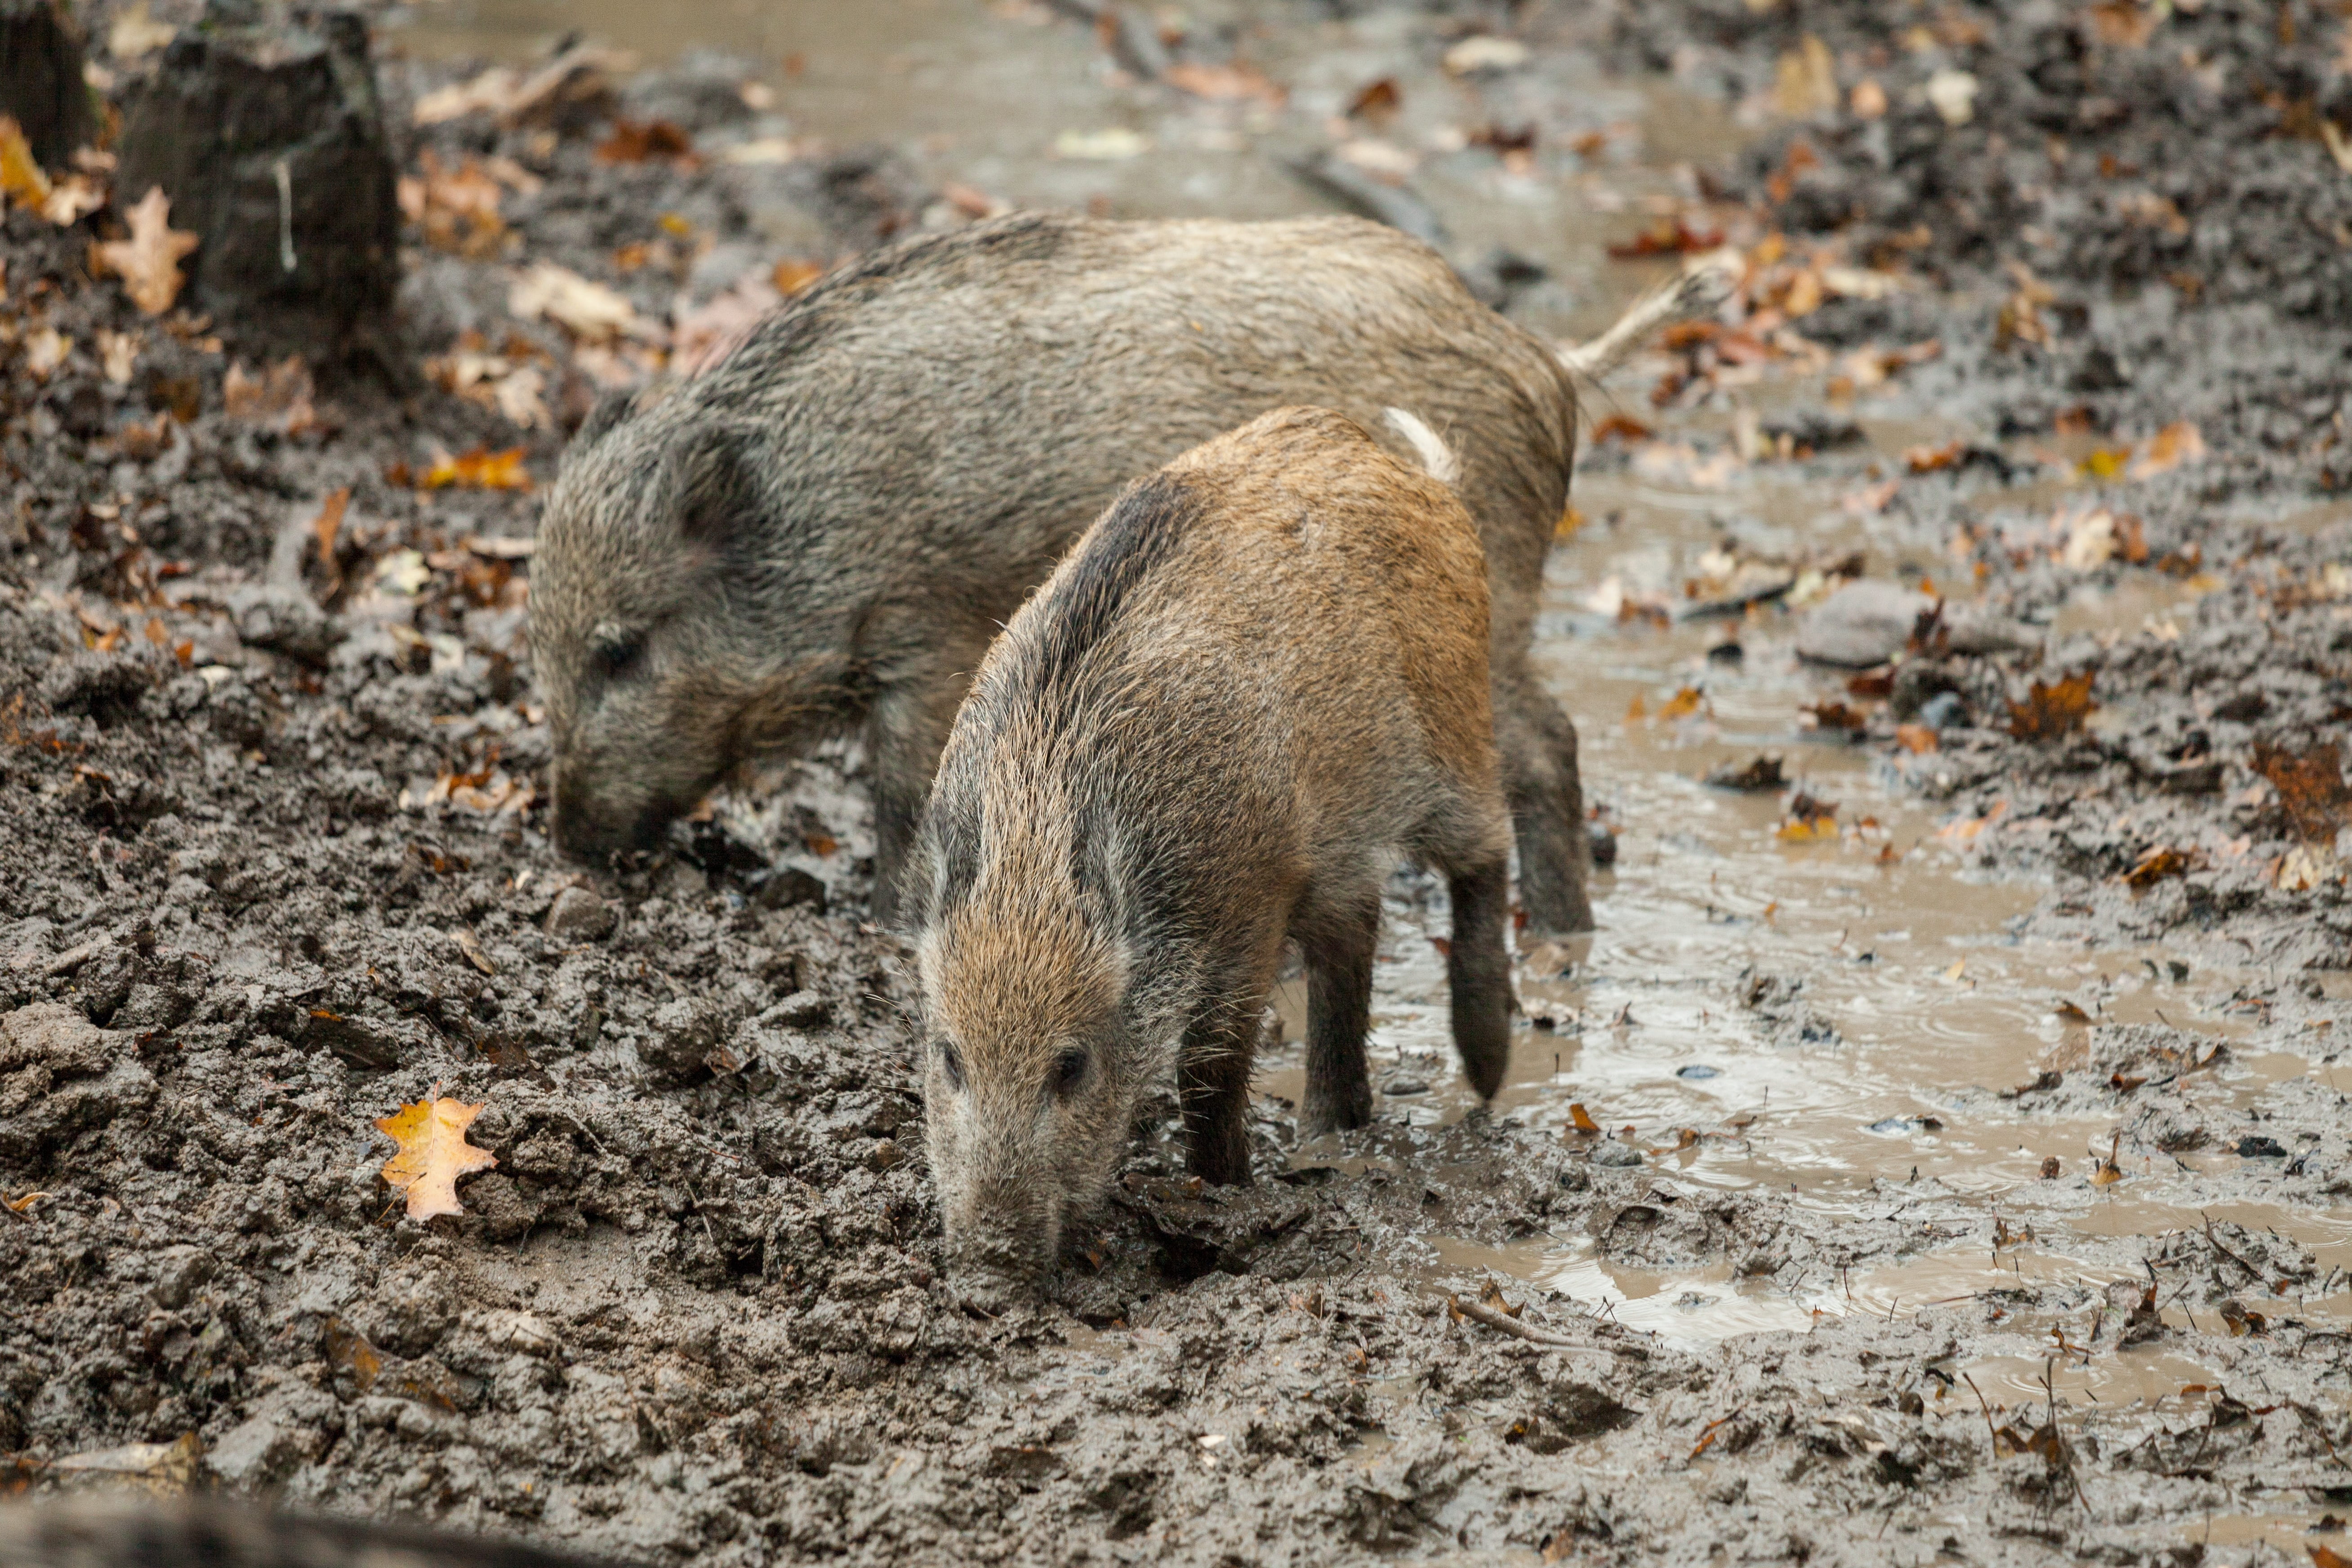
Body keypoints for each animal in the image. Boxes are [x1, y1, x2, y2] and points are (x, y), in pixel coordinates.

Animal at [533, 210, 1718, 930]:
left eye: (621, 649)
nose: (568, 842)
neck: (822, 506)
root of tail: (1548, 362)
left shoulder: (931, 629)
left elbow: (905, 794)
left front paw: (883, 922)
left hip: (1489, 606)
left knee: (1547, 748)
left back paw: (1557, 939)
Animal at [907, 406, 1511, 1303]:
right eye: (949, 1057)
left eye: (1072, 1066)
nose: (988, 1276)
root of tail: (1419, 475)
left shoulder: (1253, 903)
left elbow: (1212, 1063)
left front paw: (1227, 1192)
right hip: (1344, 846)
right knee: (1355, 937)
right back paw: (1329, 1129)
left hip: (1455, 733)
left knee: (1488, 852)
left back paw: (1485, 1071)